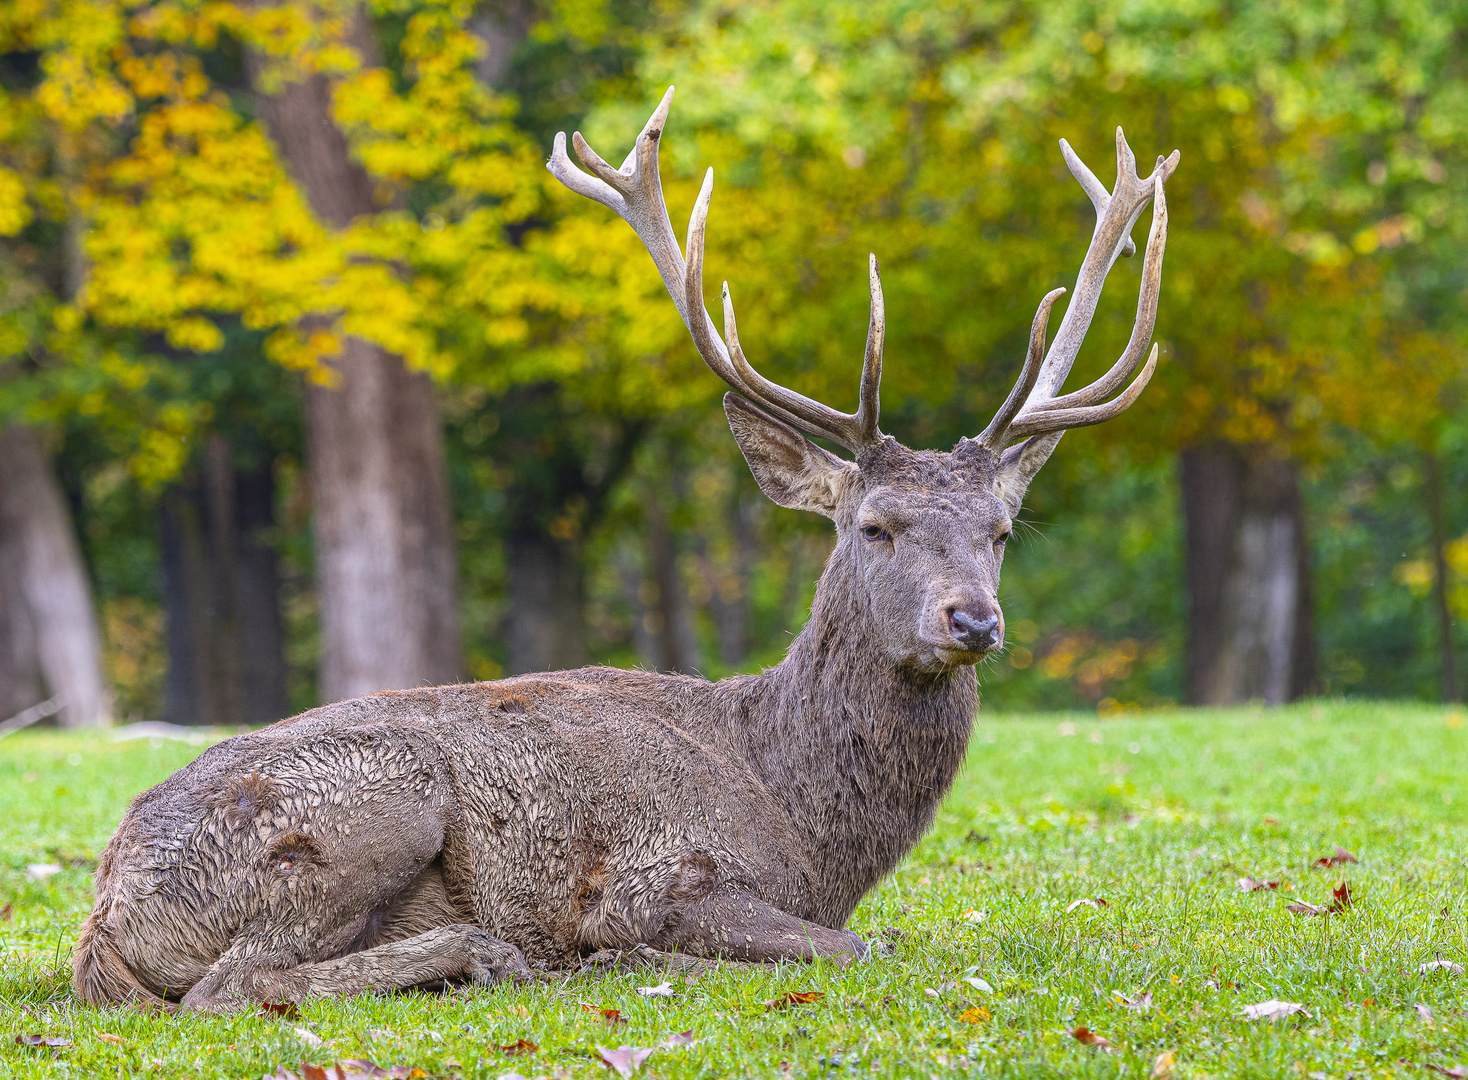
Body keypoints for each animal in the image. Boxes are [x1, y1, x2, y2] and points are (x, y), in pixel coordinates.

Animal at [74, 86, 1174, 1009]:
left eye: (1001, 530)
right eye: (876, 526)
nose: (973, 620)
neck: (808, 828)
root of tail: (103, 910)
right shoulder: (658, 871)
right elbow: (856, 945)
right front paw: (634, 955)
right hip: (364, 805)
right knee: (235, 984)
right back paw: (491, 955)